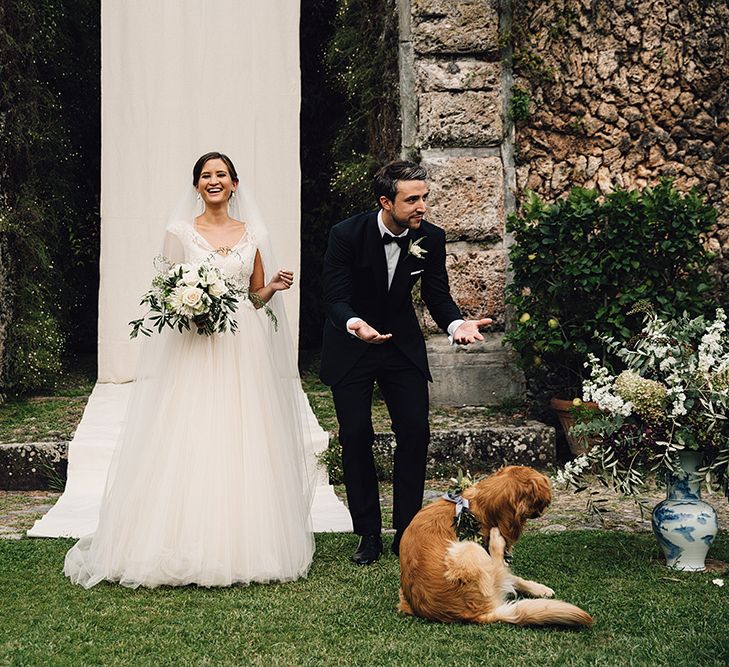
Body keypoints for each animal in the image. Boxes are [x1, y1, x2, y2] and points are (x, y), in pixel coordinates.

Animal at [398, 468, 592, 628]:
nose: (546, 507)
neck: (472, 505)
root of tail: (476, 614)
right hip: (468, 548)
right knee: (499, 568)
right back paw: (496, 541)